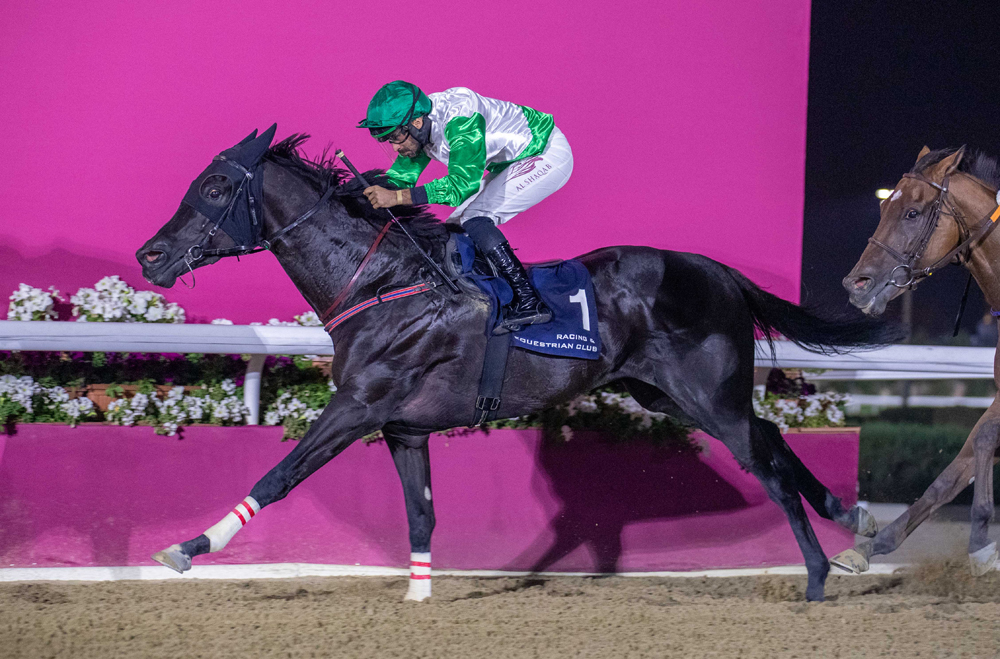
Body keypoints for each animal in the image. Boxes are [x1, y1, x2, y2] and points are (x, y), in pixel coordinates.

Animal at [137, 125, 896, 604]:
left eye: (215, 186)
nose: (150, 254)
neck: (382, 281)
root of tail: (719, 272)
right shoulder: (402, 426)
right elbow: (421, 514)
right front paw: (418, 593)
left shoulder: (358, 404)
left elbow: (279, 474)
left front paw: (186, 547)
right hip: (668, 394)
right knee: (769, 436)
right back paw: (853, 518)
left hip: (707, 395)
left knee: (767, 464)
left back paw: (818, 575)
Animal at [836, 146, 1000, 576]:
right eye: (884, 207)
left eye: (912, 212)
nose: (856, 285)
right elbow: (952, 473)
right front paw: (868, 547)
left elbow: (984, 439)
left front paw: (981, 542)